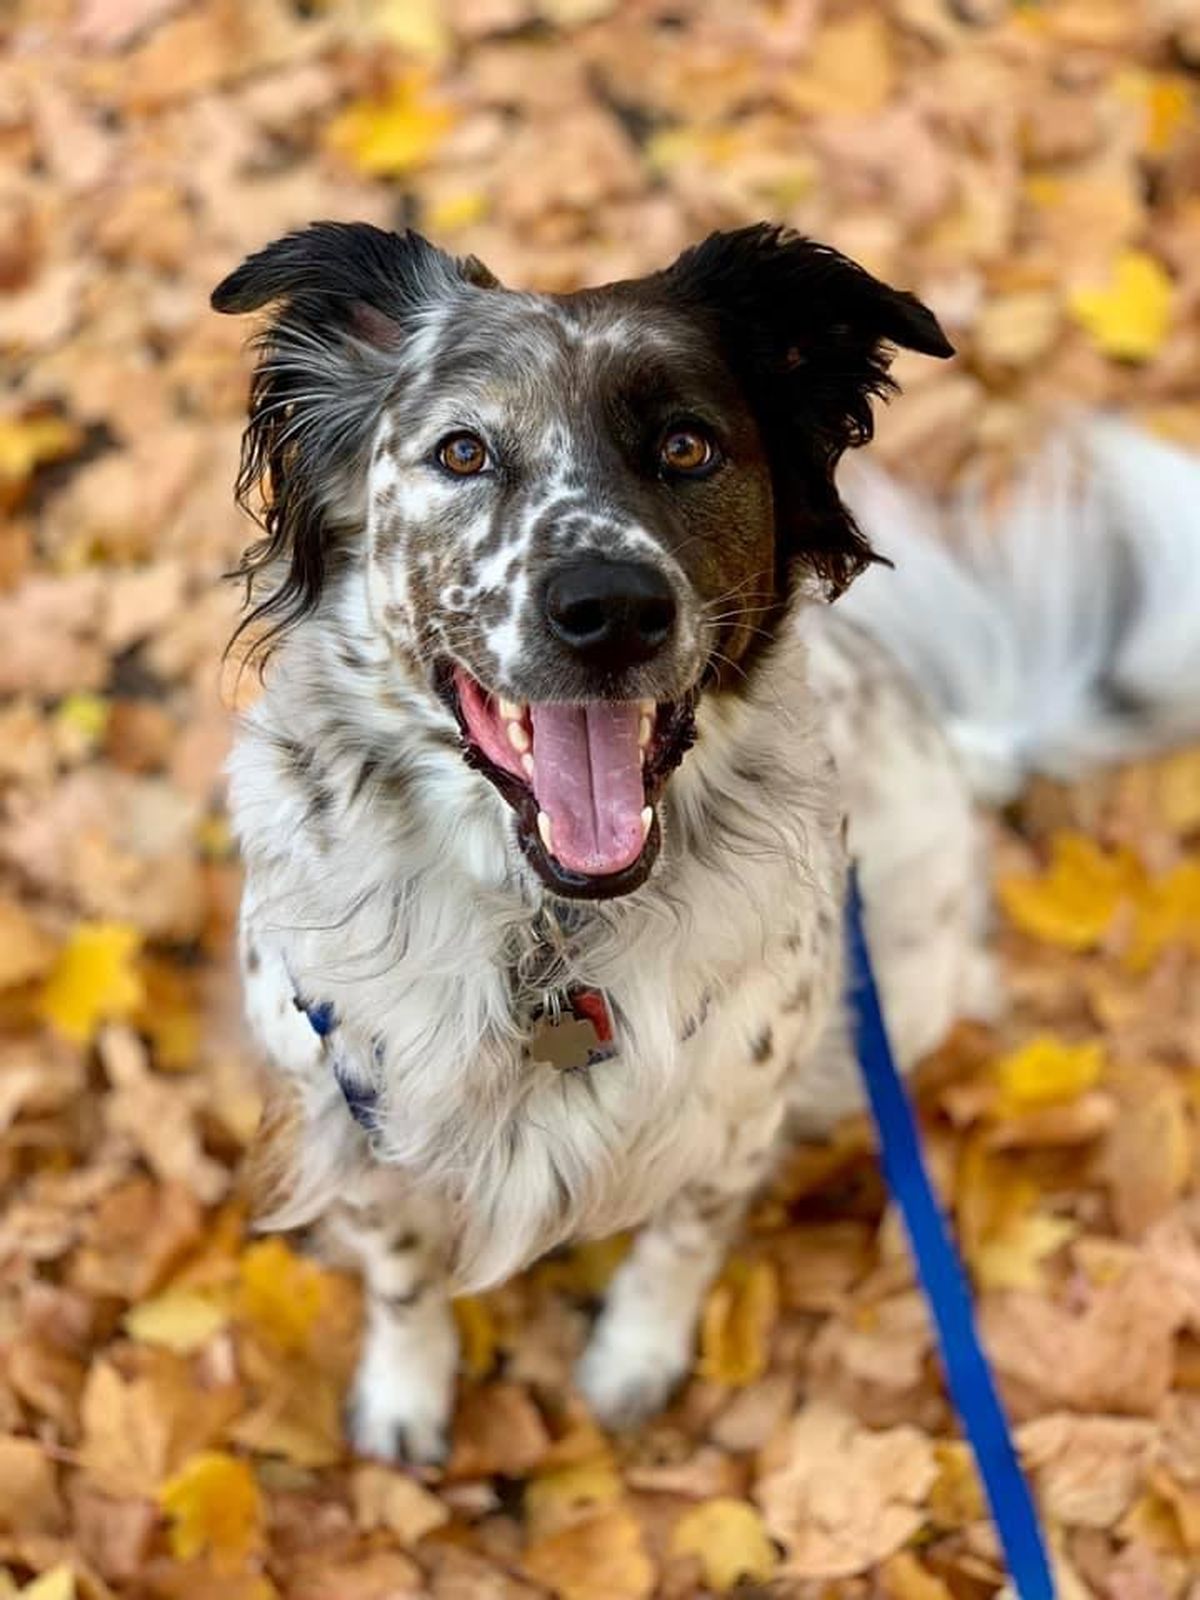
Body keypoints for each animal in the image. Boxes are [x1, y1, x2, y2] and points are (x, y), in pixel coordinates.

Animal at [214, 222, 1200, 1465]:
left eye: (687, 446)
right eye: (463, 452)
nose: (609, 609)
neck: (549, 934)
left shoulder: (735, 1118)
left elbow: (678, 1248)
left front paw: (633, 1362)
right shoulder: (349, 1113)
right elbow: (400, 1271)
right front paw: (407, 1390)